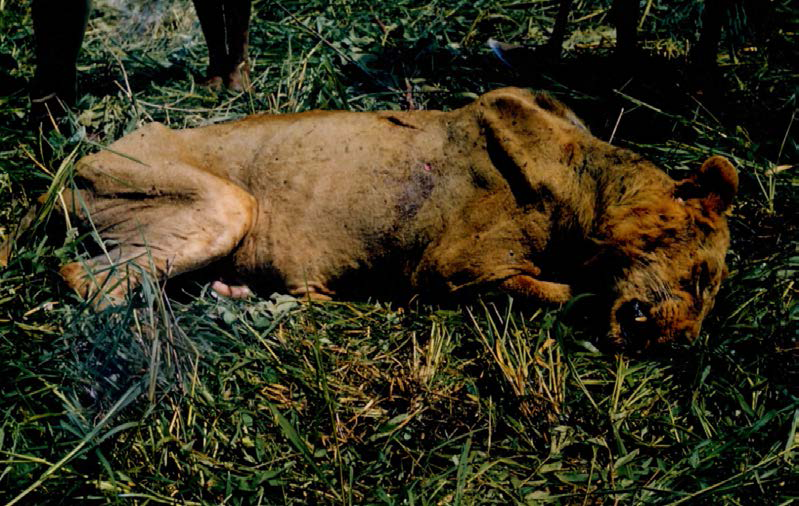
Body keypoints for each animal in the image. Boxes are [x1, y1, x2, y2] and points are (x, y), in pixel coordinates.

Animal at [56, 88, 736, 348]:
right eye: (702, 276)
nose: (679, 341)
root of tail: (72, 169)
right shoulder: (448, 270)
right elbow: (556, 293)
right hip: (217, 202)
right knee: (81, 280)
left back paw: (240, 295)